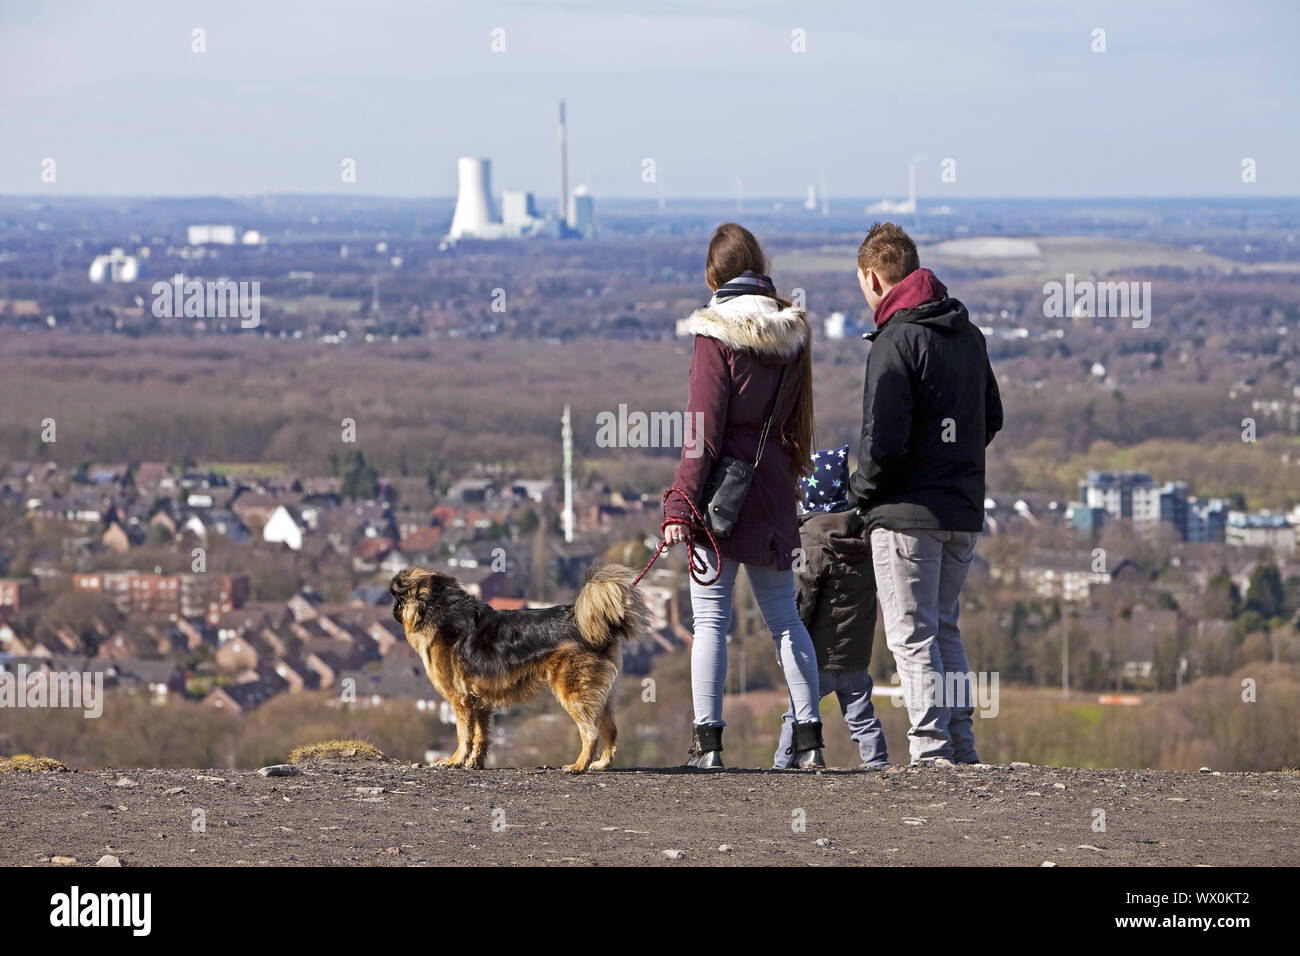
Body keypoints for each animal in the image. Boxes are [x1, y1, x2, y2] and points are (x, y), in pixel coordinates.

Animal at [387, 564, 647, 775]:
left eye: (398, 598)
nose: (393, 611)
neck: (440, 611)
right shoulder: (479, 702)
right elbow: (481, 735)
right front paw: (474, 762)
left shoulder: (460, 700)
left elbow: (464, 735)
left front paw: (455, 761)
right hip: (602, 696)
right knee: (610, 730)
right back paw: (602, 764)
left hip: (575, 694)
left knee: (590, 733)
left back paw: (579, 765)